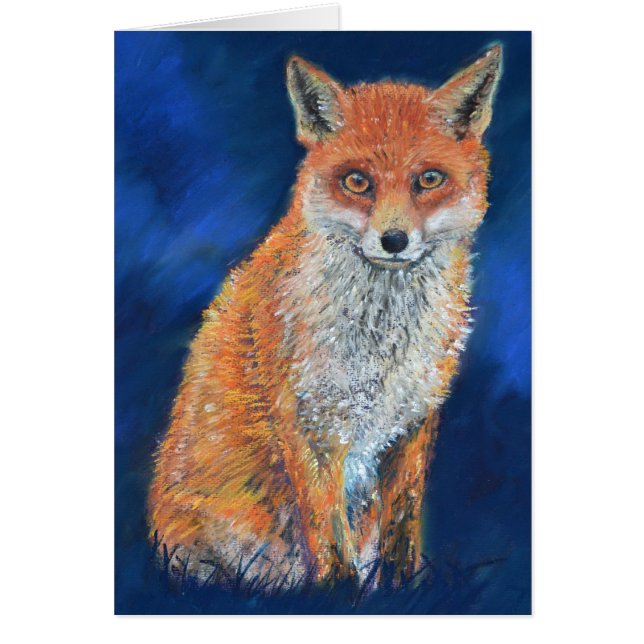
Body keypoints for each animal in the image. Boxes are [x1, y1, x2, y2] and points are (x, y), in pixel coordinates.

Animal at [148, 46, 503, 592]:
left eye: (429, 179)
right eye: (357, 182)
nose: (394, 240)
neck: (382, 344)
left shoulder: (411, 424)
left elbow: (400, 529)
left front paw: (401, 591)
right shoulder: (311, 426)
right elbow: (328, 534)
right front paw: (341, 594)